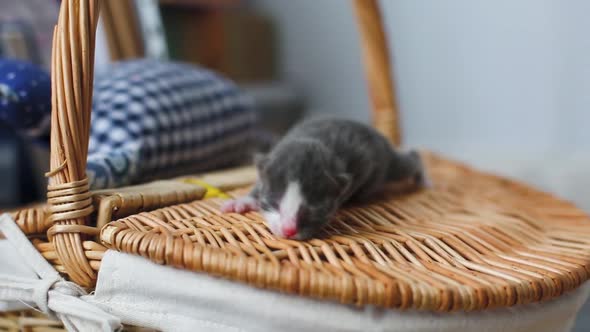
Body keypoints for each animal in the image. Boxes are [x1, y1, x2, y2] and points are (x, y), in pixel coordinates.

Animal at [221, 116, 430, 239]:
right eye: (275, 202)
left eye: (312, 210)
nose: (289, 230)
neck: (313, 141)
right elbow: (258, 184)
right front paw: (244, 201)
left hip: (386, 161)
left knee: (408, 162)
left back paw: (423, 178)